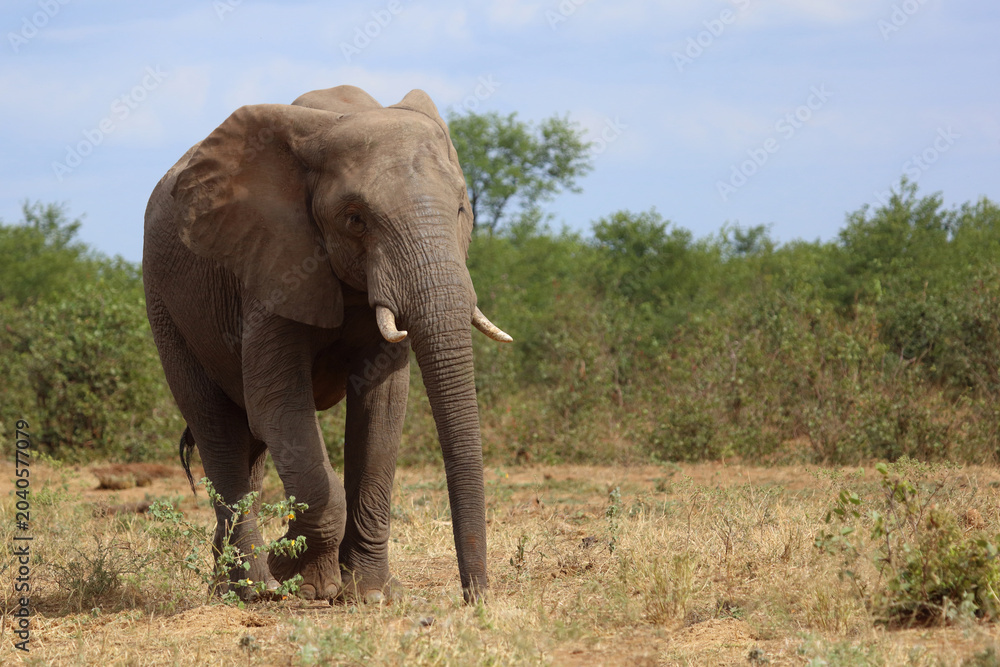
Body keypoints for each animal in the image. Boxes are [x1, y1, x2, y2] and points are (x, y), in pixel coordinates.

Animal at [142, 84, 511, 604]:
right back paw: (257, 589)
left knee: (249, 444)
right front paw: (302, 575)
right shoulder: (273, 264)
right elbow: (278, 405)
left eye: (462, 208)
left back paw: (228, 586)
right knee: (217, 424)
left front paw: (370, 594)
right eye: (355, 219)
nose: (475, 599)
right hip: (166, 306)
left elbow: (382, 407)